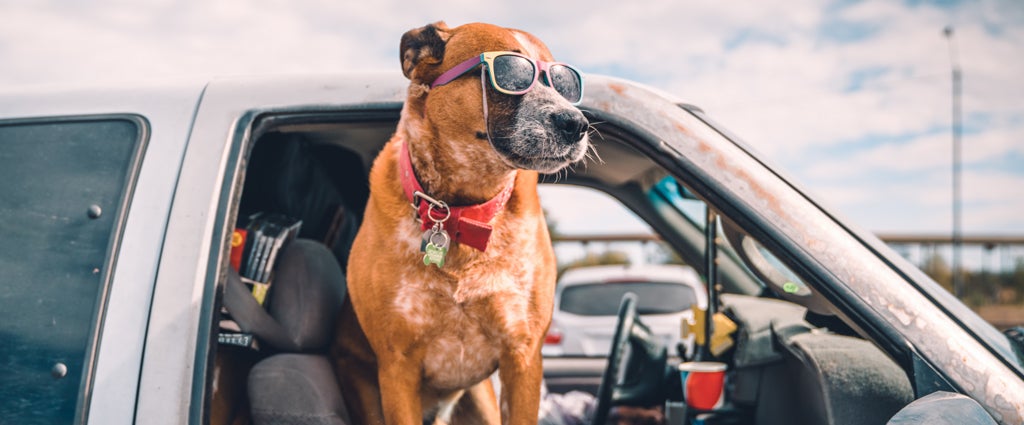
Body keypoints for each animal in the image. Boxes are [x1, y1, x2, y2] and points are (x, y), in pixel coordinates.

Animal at [333, 21, 589, 423]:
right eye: (511, 75)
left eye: (565, 84)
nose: (576, 123)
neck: (462, 213)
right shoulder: (396, 367)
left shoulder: (523, 356)